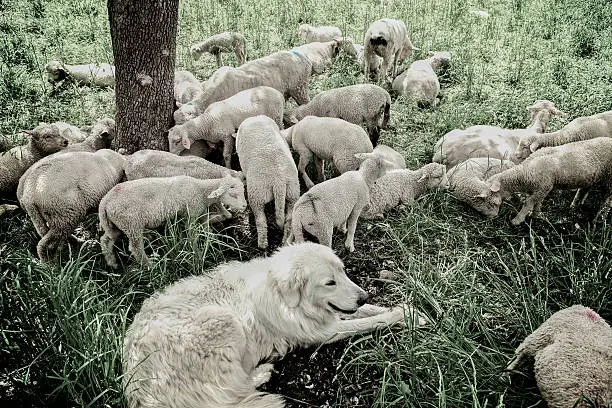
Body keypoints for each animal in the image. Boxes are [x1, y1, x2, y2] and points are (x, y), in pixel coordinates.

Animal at [98, 172, 246, 268]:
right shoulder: (190, 214)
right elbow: (192, 234)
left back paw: (112, 263)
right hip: (132, 223)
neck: (201, 190)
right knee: (135, 248)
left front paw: (211, 236)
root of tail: (105, 201)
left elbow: (206, 226)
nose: (245, 206)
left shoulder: (201, 211)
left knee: (106, 240)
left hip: (114, 224)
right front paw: (197, 252)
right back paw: (150, 265)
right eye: (232, 194)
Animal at [235, 115, 300, 249]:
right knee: (288, 219)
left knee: (261, 220)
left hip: (257, 194)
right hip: (293, 191)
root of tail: (279, 179)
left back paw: (262, 243)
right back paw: (285, 242)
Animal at [478, 139, 612, 225]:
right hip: (592, 178)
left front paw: (517, 220)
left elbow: (528, 203)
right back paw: (575, 205)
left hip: (609, 181)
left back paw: (598, 218)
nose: (488, 217)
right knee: (584, 190)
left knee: (606, 201)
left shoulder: (543, 188)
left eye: (490, 196)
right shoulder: (541, 190)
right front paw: (535, 215)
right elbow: (537, 203)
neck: (525, 172)